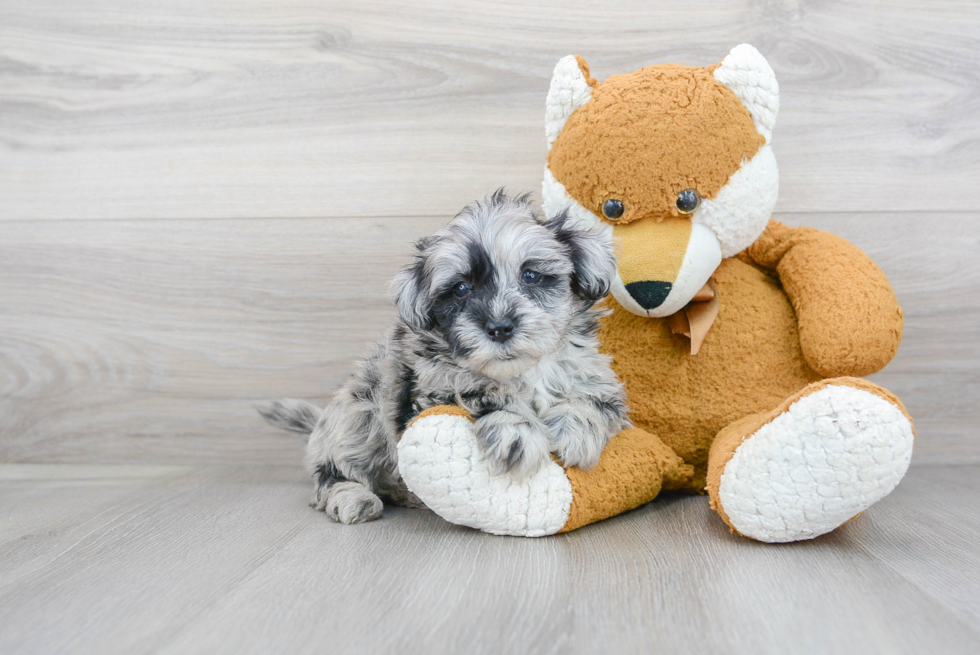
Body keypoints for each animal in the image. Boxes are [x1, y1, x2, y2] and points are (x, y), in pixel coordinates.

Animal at [260, 190, 628, 524]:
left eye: (531, 275)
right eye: (461, 288)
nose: (499, 327)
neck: (521, 372)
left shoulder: (596, 377)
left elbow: (592, 400)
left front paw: (574, 431)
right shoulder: (433, 387)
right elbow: (481, 391)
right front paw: (517, 433)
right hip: (357, 416)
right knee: (331, 477)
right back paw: (353, 499)